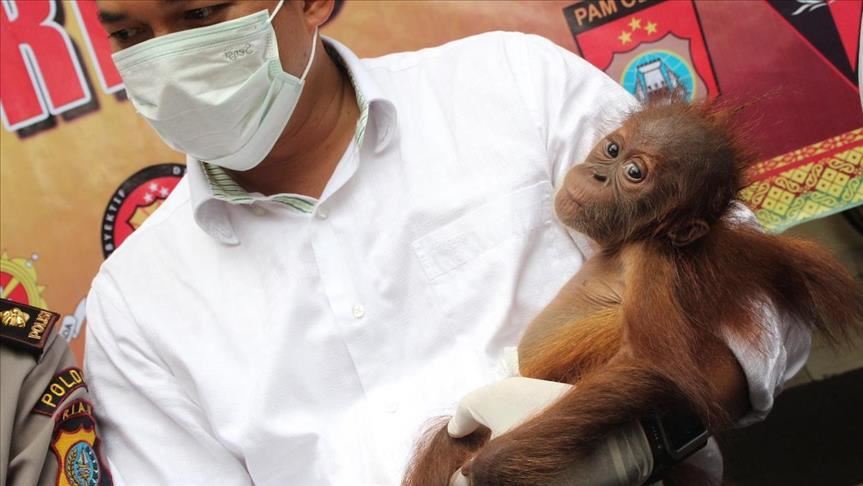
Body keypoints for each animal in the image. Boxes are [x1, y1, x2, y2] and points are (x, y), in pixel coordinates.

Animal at [403, 99, 863, 486]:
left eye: (634, 174)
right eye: (611, 149)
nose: (597, 174)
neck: (623, 244)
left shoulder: (650, 265)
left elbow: (649, 365)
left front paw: (487, 468)